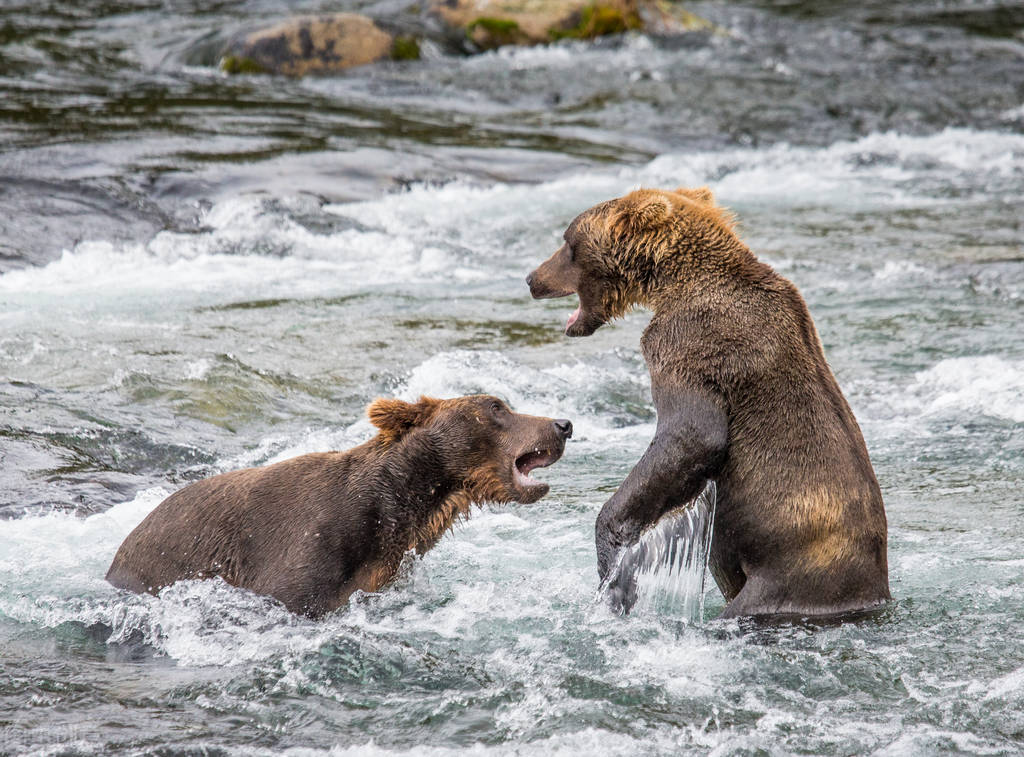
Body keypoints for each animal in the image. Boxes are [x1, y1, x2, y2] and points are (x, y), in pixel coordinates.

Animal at [526, 187, 890, 619]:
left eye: (567, 243)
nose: (531, 279)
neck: (674, 281)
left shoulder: (690, 345)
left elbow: (694, 435)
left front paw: (616, 563)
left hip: (789, 577)